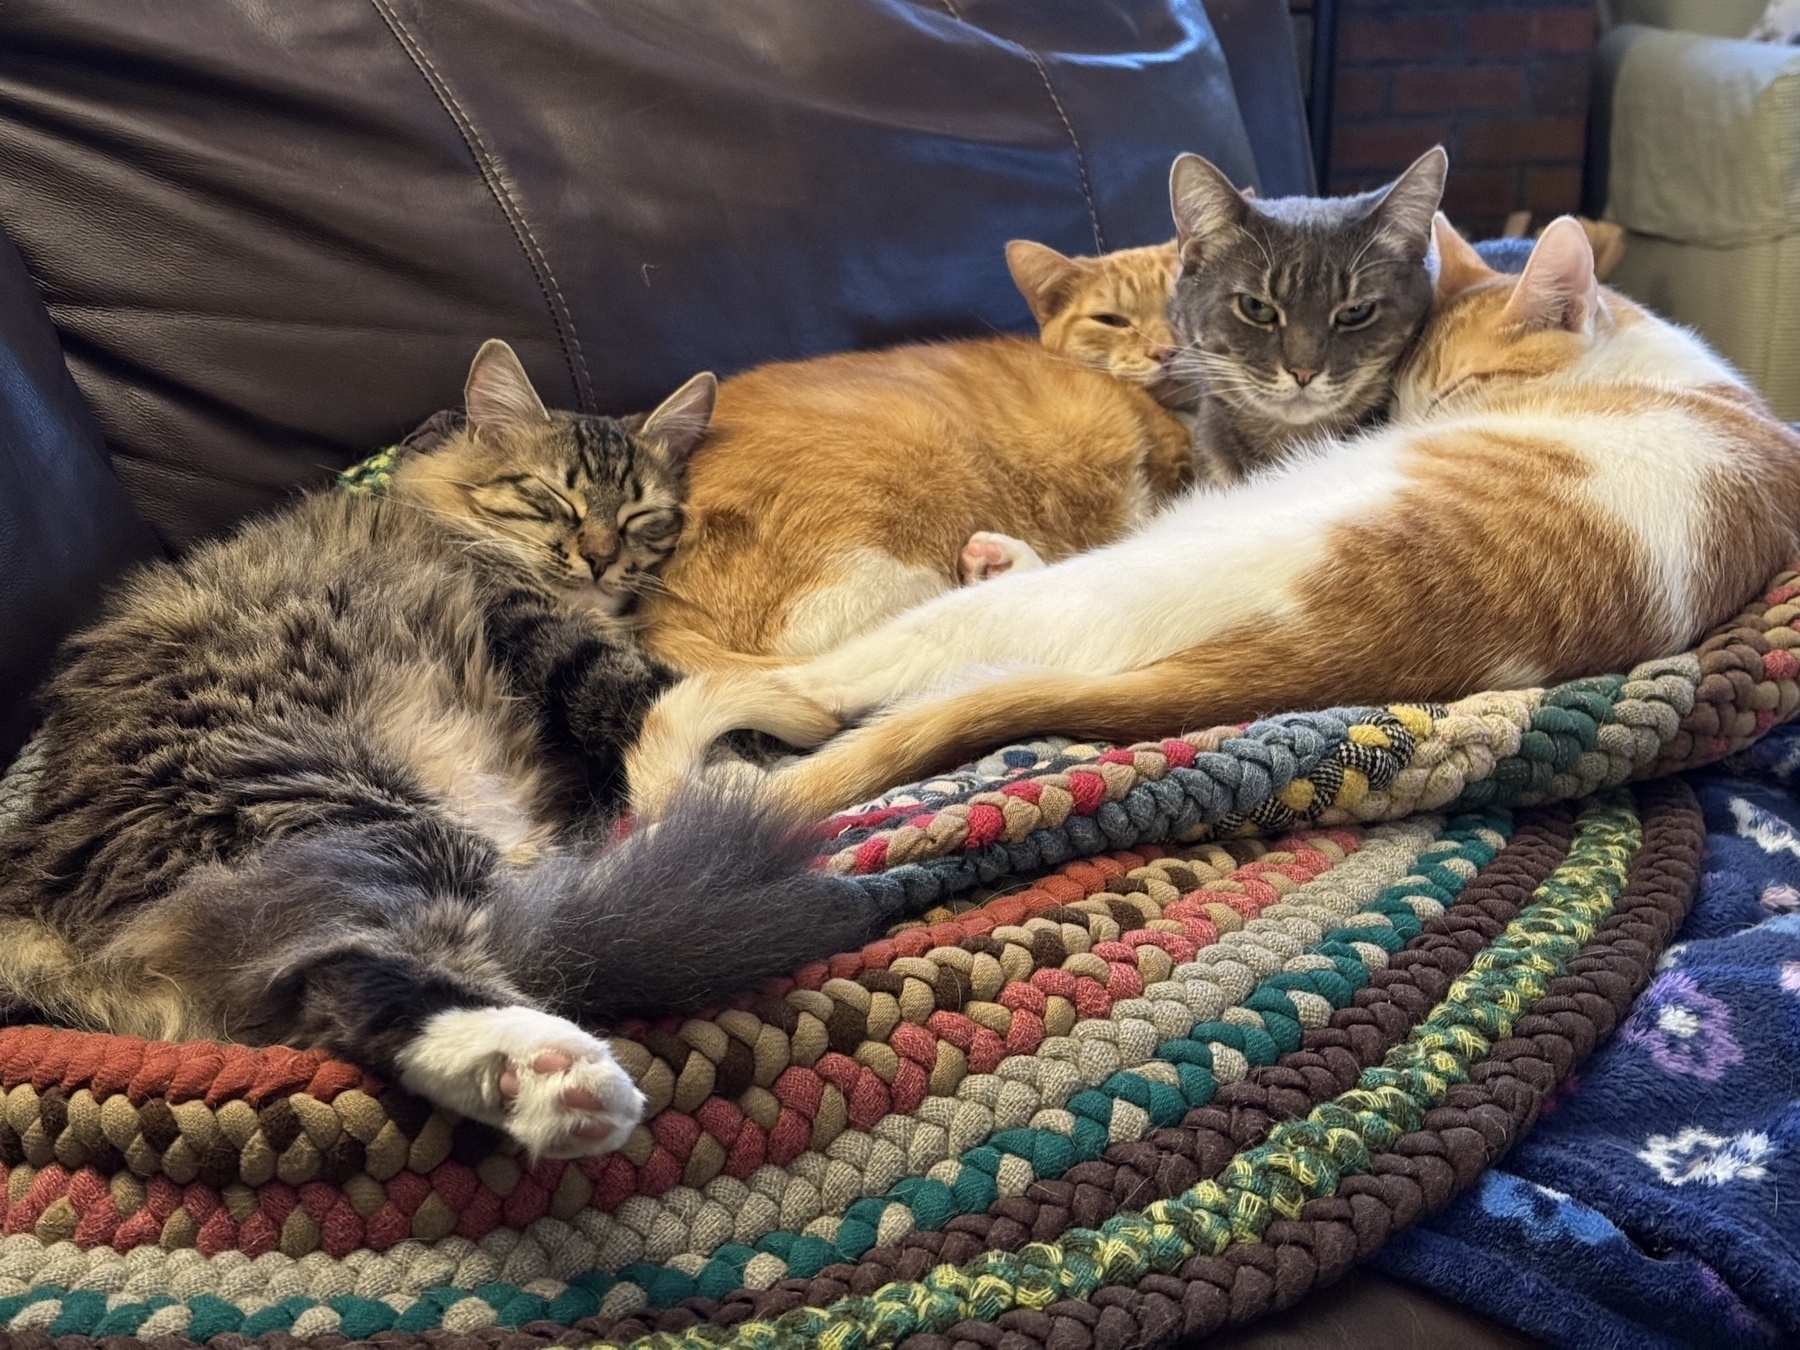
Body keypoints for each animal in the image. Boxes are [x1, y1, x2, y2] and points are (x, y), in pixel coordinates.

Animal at [0, 343, 900, 1159]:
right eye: (550, 497)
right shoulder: (546, 637)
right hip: (346, 814)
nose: (600, 559)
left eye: (642, 517)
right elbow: (651, 694)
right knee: (383, 961)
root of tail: (32, 890)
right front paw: (775, 748)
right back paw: (551, 1075)